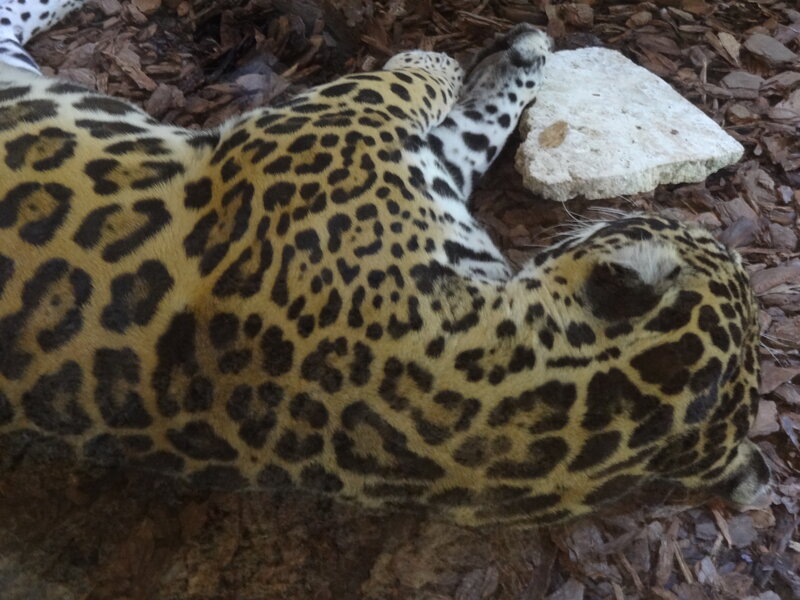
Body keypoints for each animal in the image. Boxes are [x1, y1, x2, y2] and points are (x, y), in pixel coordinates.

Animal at [0, 0, 769, 527]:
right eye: (684, 231)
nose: (690, 219)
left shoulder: (343, 135)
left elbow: (414, 99)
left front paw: (462, 60)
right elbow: (455, 112)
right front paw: (508, 53)